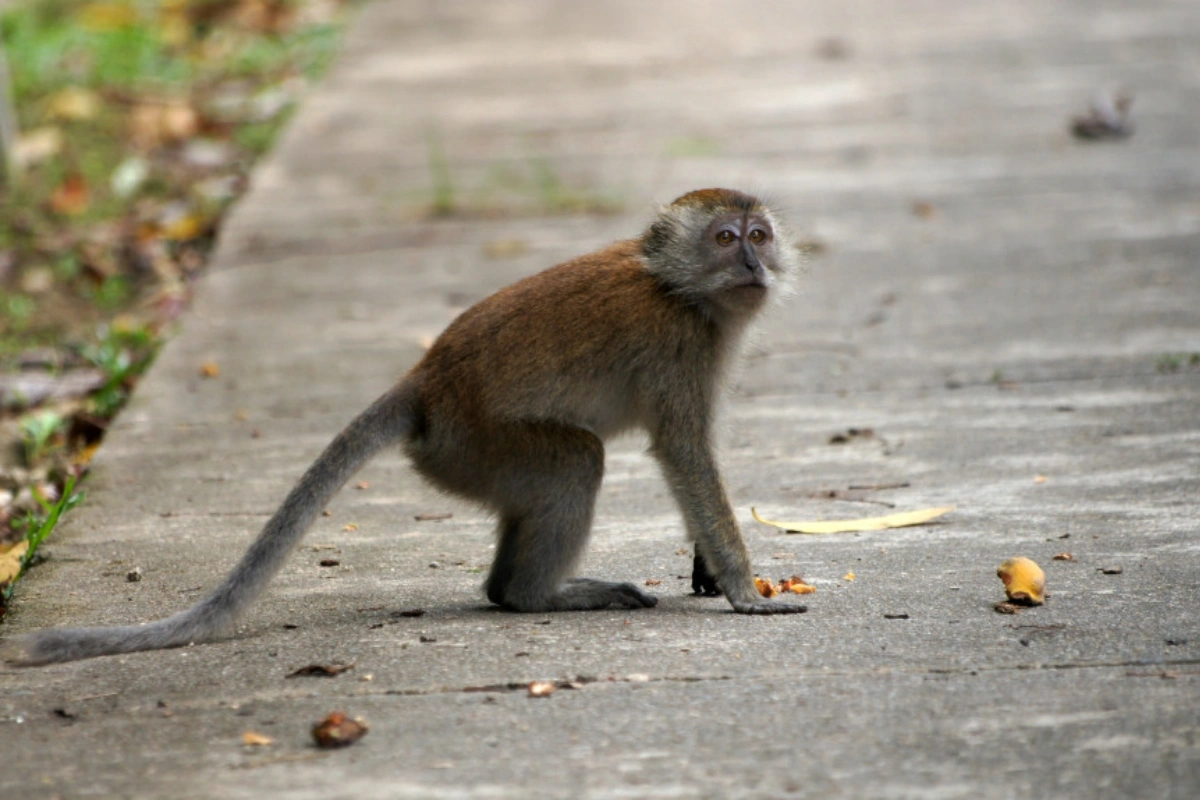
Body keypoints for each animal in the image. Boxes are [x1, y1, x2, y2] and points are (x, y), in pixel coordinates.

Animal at [7, 185, 806, 662]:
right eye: (725, 237)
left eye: (760, 234)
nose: (755, 263)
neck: (679, 290)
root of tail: (425, 380)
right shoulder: (680, 346)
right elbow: (682, 451)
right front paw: (742, 588)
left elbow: (688, 458)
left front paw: (708, 568)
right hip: (477, 444)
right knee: (577, 459)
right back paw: (538, 596)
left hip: (471, 458)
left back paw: (507, 590)